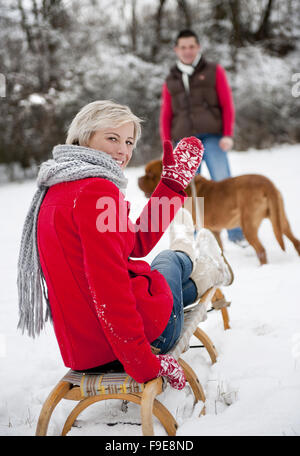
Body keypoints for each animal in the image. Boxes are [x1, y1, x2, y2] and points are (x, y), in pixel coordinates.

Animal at [138, 159, 300, 264]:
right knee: (295, 241)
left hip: (248, 225)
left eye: (150, 174)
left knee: (261, 250)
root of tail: (267, 184)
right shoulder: (214, 231)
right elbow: (219, 249)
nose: (138, 179)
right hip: (280, 220)